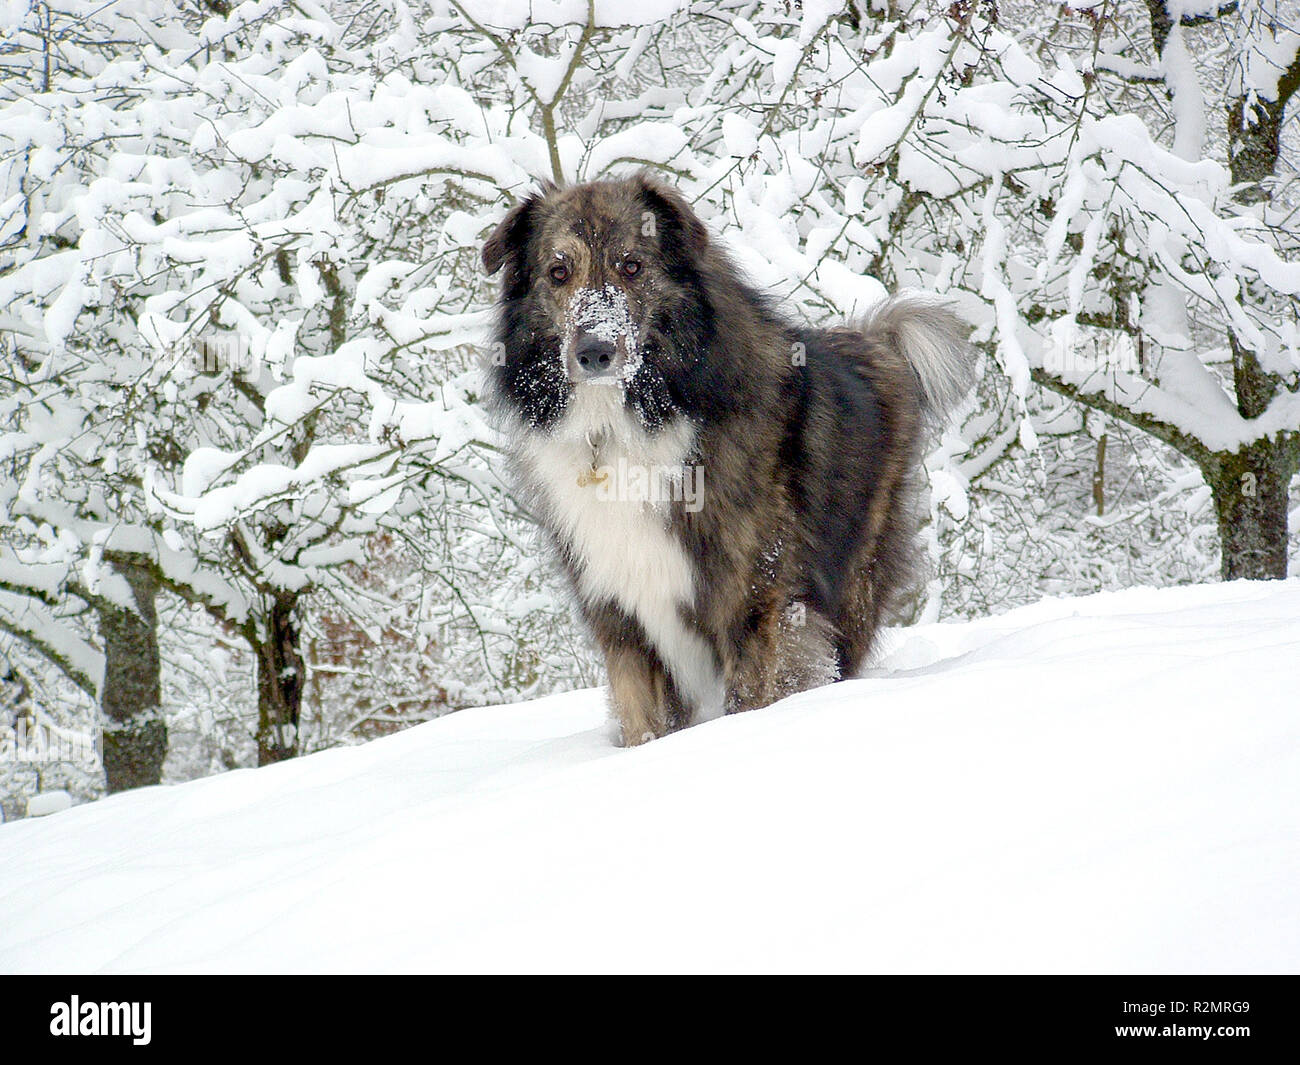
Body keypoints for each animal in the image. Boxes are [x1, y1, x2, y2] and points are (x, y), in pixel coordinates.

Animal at [483, 175, 972, 743]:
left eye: (632, 265)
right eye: (558, 272)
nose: (595, 352)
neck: (627, 422)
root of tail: (873, 340)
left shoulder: (753, 603)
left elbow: (748, 701)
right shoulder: (621, 619)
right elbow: (642, 725)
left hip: (853, 584)